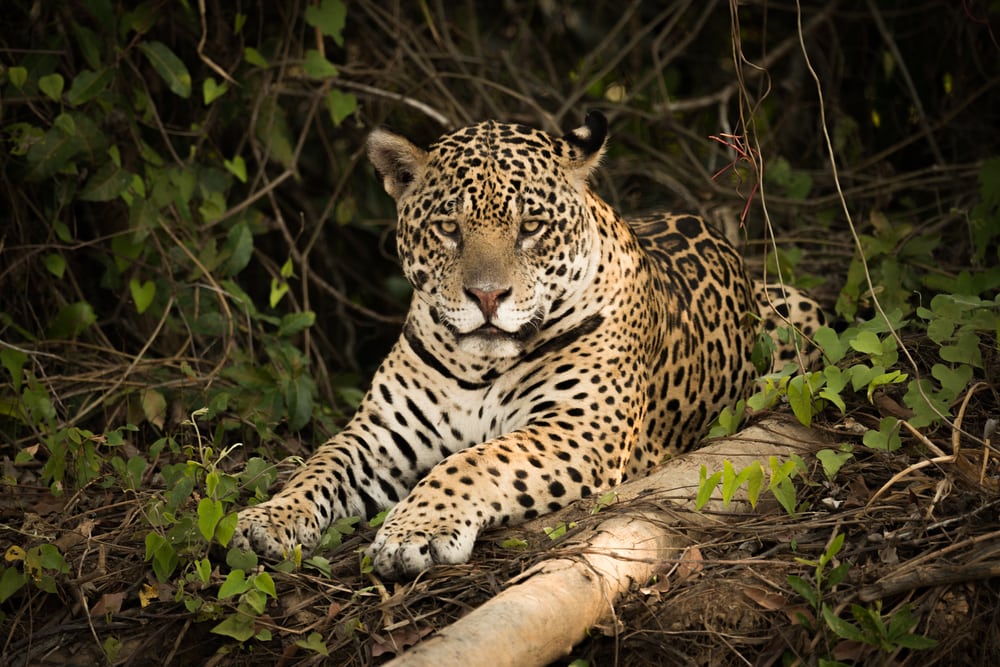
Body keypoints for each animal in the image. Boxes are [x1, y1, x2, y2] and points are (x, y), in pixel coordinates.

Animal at [232, 111, 824, 579]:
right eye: (449, 227)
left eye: (532, 226)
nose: (487, 296)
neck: (477, 367)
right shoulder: (382, 434)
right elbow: (320, 465)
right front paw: (267, 519)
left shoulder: (580, 428)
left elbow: (475, 460)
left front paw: (413, 530)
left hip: (795, 307)